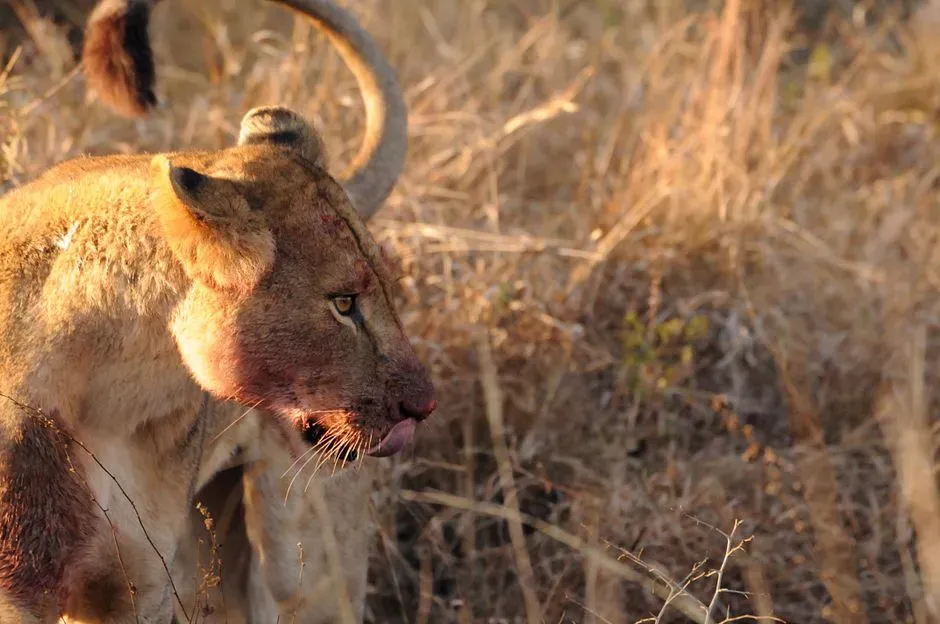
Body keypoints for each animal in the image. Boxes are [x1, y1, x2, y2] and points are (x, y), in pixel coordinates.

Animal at [0, 1, 433, 622]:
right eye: (344, 303)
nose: (423, 408)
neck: (115, 387)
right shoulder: (25, 583)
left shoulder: (138, 581)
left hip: (304, 566)